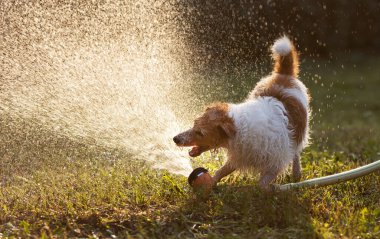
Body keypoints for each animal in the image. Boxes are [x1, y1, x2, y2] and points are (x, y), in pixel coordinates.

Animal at [174, 36, 310, 190]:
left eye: (200, 133)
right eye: (194, 124)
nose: (176, 139)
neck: (240, 128)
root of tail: (283, 74)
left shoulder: (276, 161)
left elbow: (262, 184)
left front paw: (272, 189)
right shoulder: (240, 155)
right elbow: (222, 171)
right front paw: (211, 184)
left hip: (299, 131)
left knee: (296, 151)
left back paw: (296, 172)